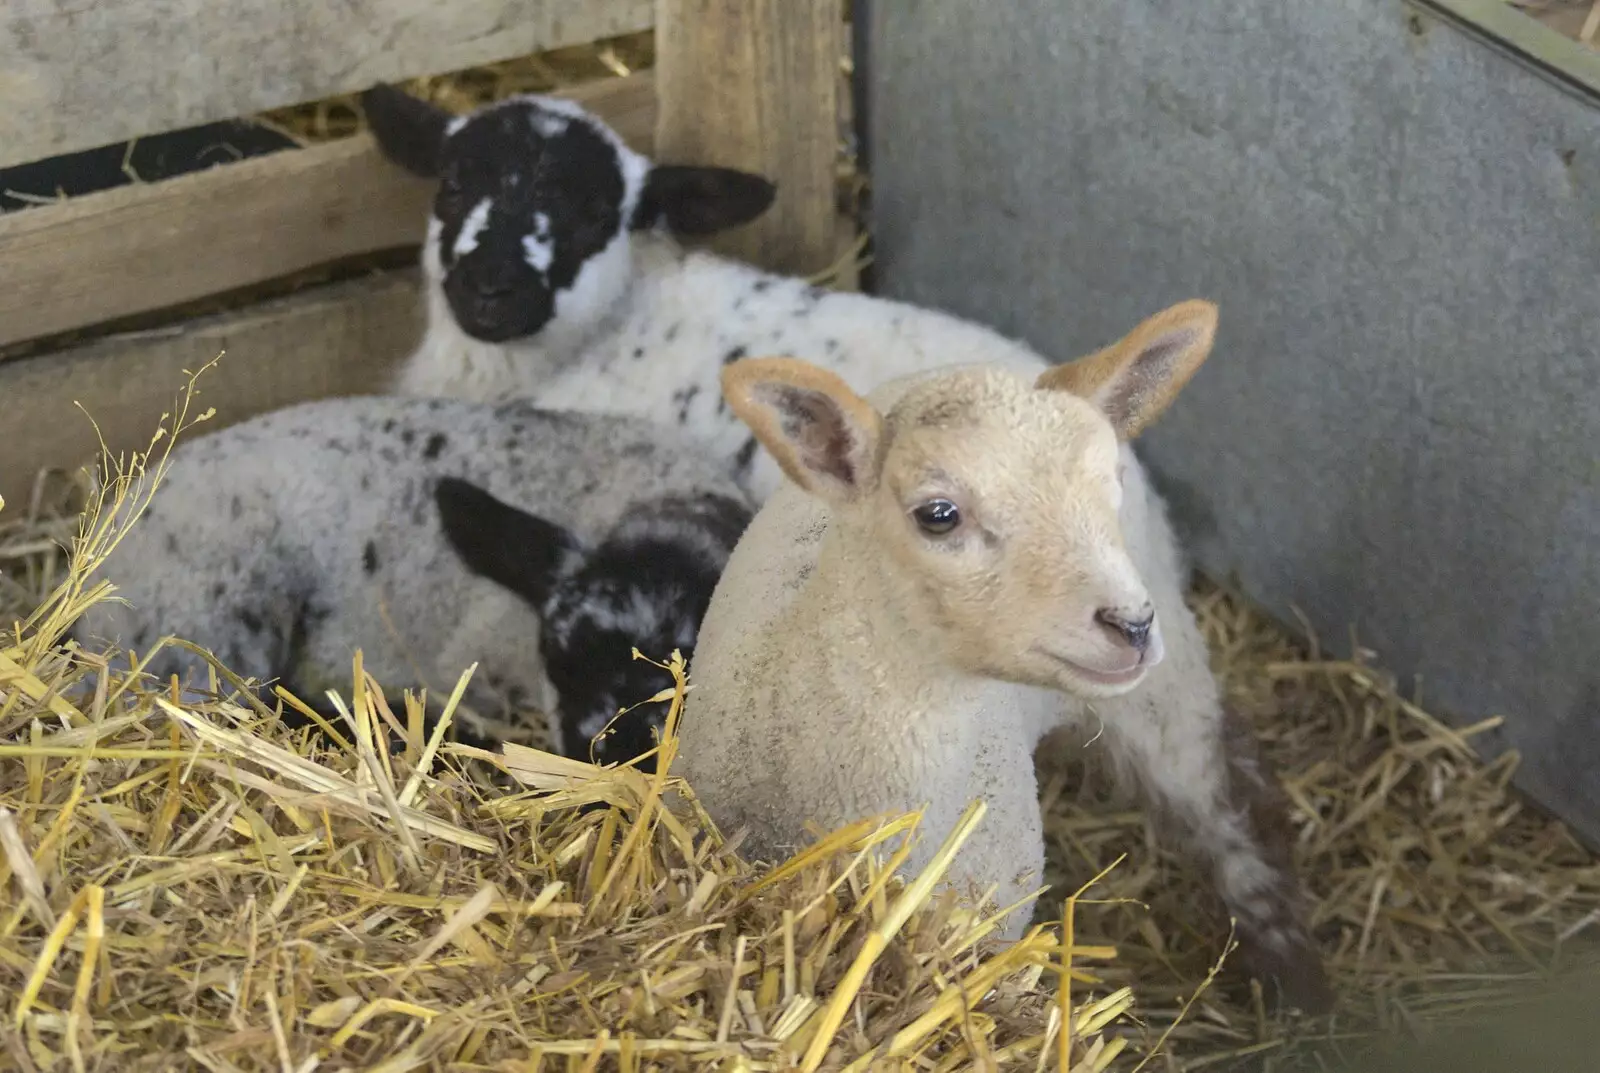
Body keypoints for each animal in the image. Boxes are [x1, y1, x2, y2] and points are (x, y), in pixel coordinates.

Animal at [675, 303, 1337, 1017]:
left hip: (1163, 675)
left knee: (1222, 791)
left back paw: (1292, 968)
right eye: (938, 515)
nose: (1132, 625)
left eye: (1111, 484)